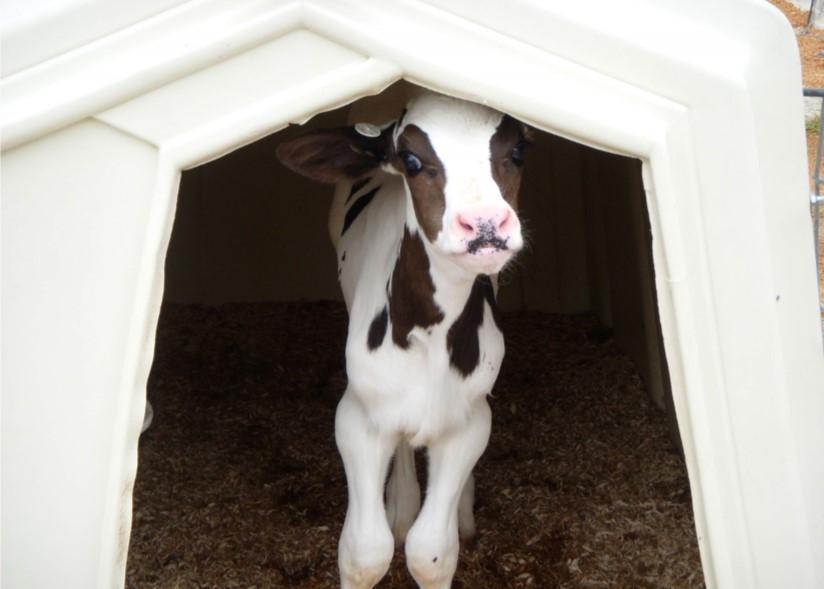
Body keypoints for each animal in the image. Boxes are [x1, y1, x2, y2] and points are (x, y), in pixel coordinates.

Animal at [278, 93, 528, 588]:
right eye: (411, 161)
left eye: (516, 153)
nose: (486, 225)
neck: (430, 328)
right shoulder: (358, 414)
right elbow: (364, 553)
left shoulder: (471, 419)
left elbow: (431, 552)